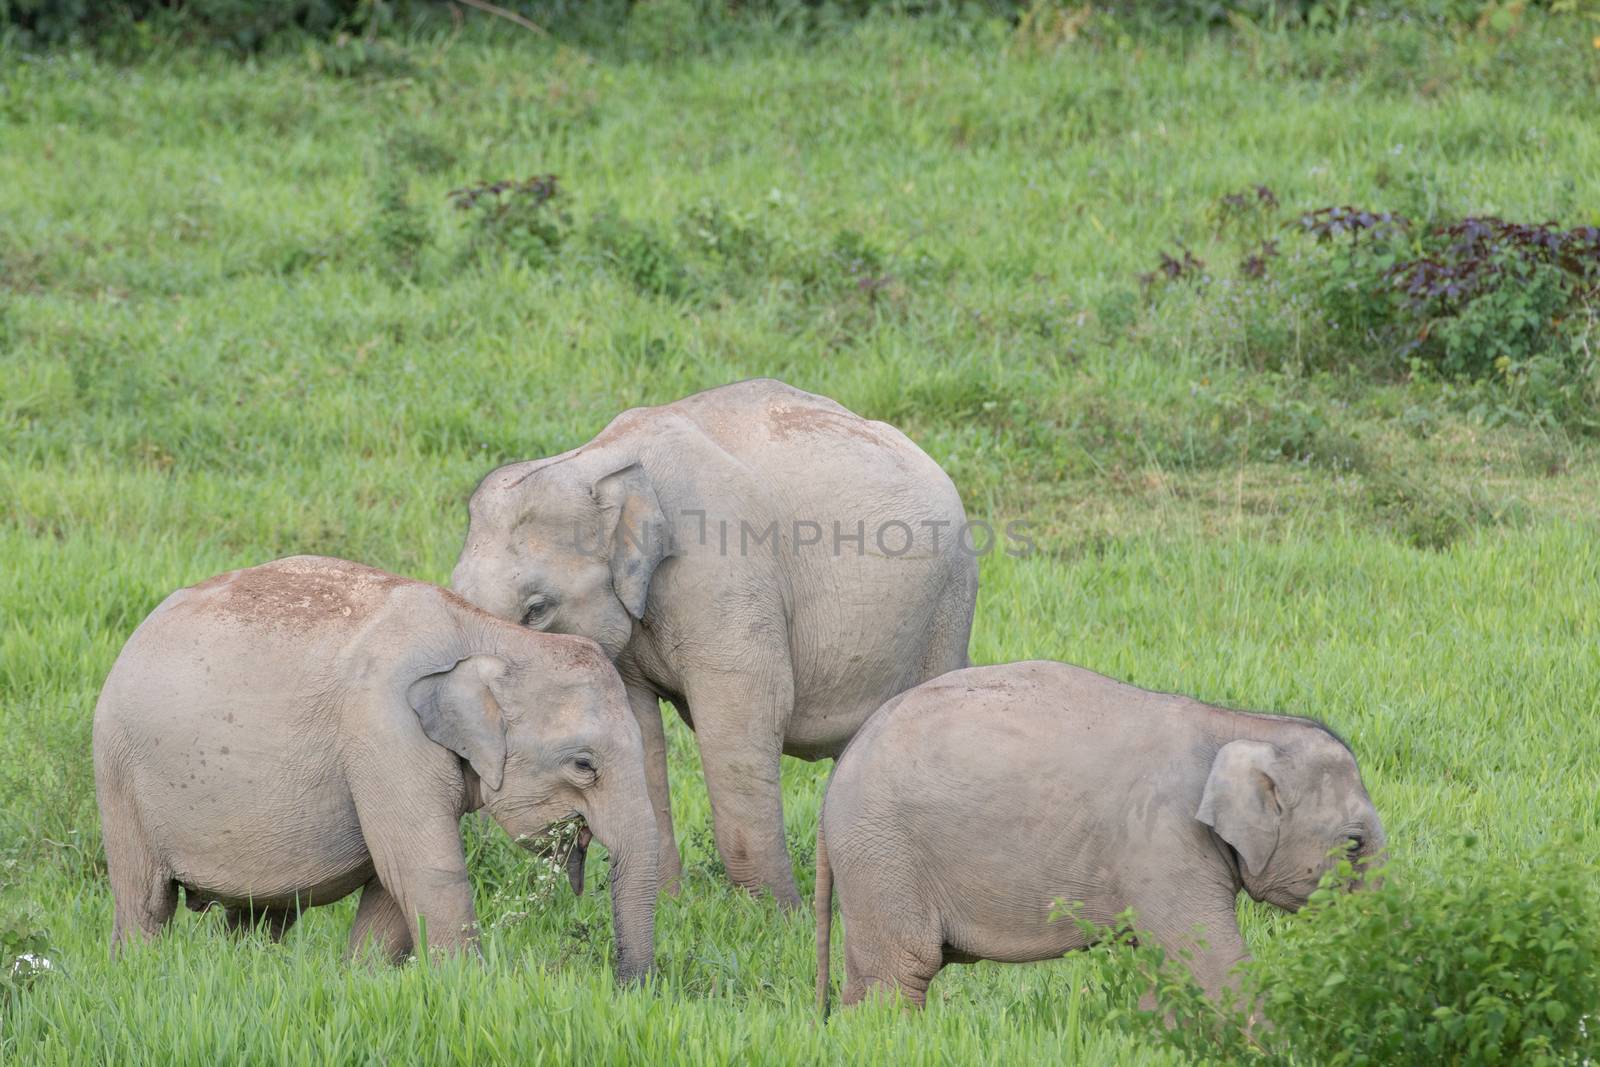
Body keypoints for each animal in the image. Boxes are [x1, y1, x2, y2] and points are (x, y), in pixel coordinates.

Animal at [89, 559, 662, 985]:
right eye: (584, 765)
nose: (629, 989)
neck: (488, 633)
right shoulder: (384, 732)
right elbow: (421, 869)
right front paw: (470, 989)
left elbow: (390, 887)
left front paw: (361, 984)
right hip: (119, 775)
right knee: (145, 901)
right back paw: (136, 975)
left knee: (259, 915)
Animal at [448, 379, 972, 908]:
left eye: (537, 609)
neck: (597, 459)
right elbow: (634, 728)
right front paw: (668, 906)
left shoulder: (724, 574)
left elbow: (745, 717)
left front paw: (775, 916)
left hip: (948, 606)